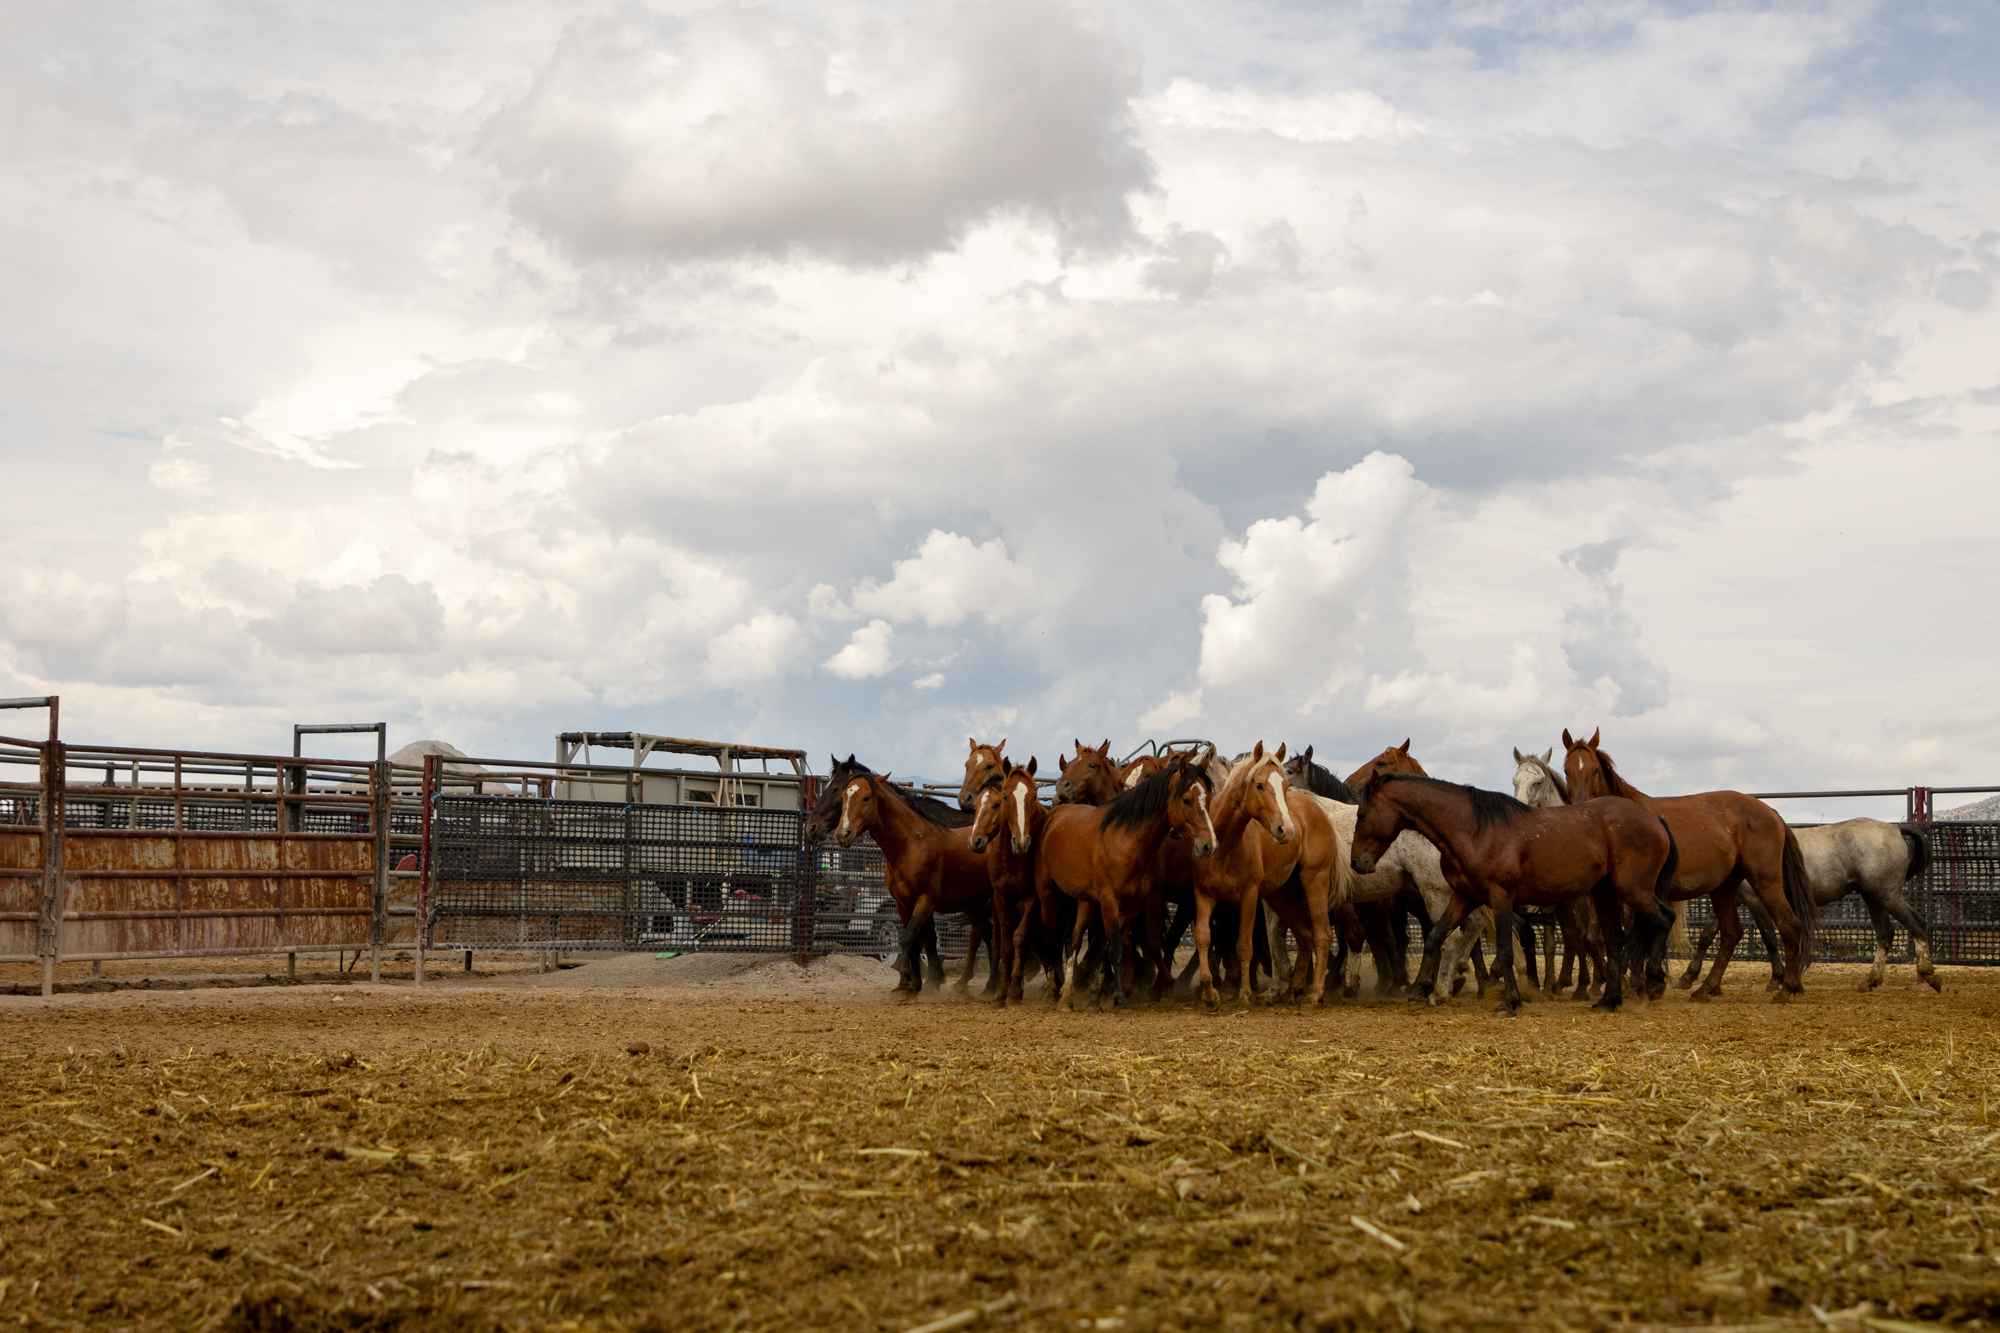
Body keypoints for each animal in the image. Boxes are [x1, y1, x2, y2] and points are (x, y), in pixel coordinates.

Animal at [836, 768, 1000, 996]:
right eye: (843, 796)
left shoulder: (925, 901)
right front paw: (914, 984)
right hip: (973, 905)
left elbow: (908, 938)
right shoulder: (904, 904)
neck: (911, 844)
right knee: (987, 933)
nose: (843, 834)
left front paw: (909, 979)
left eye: (866, 797)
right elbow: (917, 941)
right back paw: (987, 984)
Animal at [1344, 772, 1688, 1012]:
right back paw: (1609, 1000)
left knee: (1663, 919)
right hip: (1605, 893)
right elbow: (1435, 937)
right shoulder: (1465, 897)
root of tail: (1655, 819)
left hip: (1633, 889)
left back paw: (1654, 982)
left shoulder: (1501, 898)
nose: (1356, 862)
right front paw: (1420, 990)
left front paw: (1510, 1002)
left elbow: (1506, 951)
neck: (1474, 829)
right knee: (1616, 941)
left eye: (1362, 815)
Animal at [1552, 728, 1824, 996]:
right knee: (1731, 934)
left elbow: (1631, 939)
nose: (1582, 810)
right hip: (1724, 888)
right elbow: (1594, 939)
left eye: (1594, 769)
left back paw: (1787, 988)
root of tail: (1772, 813)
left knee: (1789, 926)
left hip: (1765, 881)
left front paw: (1638, 983)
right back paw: (1706, 987)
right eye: (1566, 770)